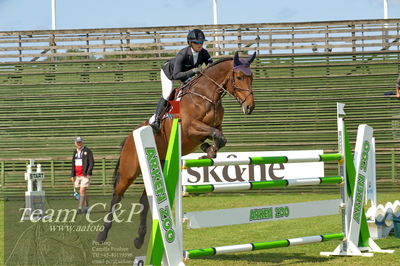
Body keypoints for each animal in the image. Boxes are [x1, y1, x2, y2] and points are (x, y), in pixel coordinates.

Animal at [98, 51, 258, 247]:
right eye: (240, 77)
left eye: (251, 77)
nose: (249, 107)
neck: (206, 95)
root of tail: (129, 138)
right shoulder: (190, 128)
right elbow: (216, 135)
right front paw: (208, 150)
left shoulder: (214, 127)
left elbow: (220, 137)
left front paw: (208, 149)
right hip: (129, 171)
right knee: (116, 196)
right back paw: (102, 235)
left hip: (157, 165)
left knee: (145, 198)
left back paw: (139, 238)